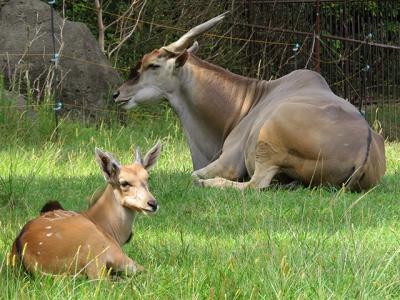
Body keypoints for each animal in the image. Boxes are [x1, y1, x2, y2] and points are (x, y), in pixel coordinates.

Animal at [111, 12, 384, 191]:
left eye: (153, 65)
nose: (117, 94)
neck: (249, 98)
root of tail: (363, 150)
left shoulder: (228, 162)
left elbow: (194, 174)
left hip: (267, 142)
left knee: (254, 185)